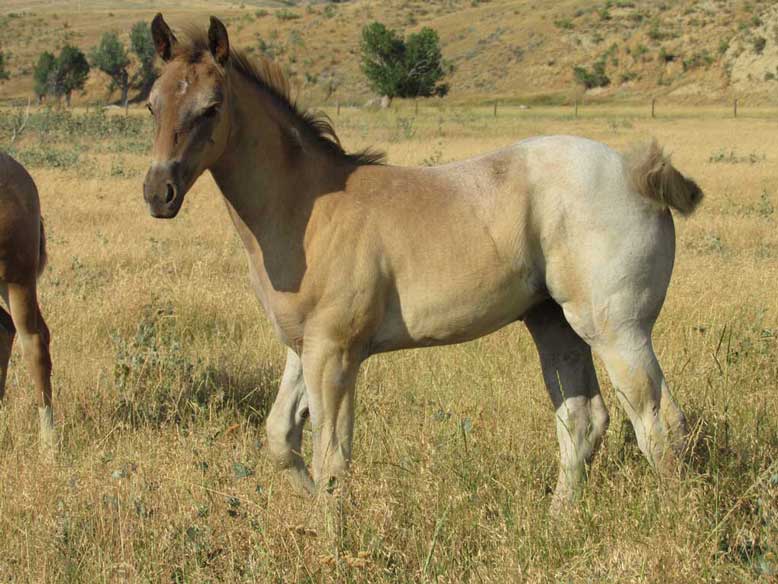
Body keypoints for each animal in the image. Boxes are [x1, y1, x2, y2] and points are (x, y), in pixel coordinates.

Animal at [143, 15, 703, 508]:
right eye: (152, 105)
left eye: (212, 107)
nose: (158, 193)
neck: (308, 209)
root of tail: (638, 175)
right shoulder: (303, 348)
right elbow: (282, 439)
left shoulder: (335, 353)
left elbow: (332, 461)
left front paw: (333, 540)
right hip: (553, 324)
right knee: (583, 420)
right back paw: (558, 521)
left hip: (616, 330)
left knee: (659, 424)